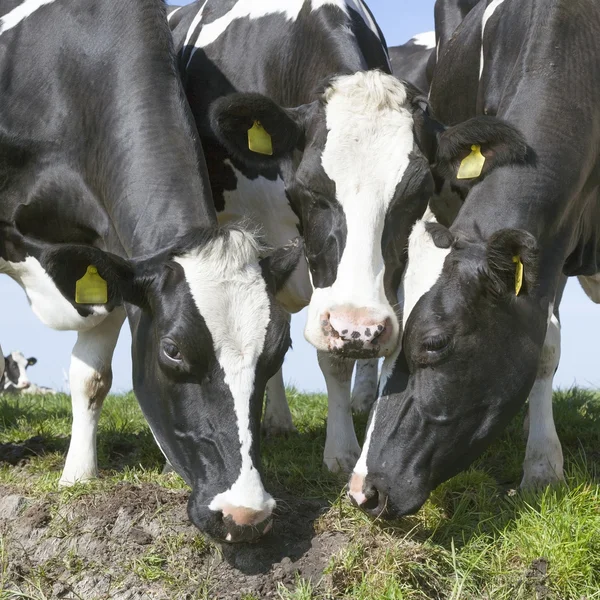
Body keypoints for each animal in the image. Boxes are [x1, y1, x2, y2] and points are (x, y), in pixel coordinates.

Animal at [0, 0, 300, 544]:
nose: (245, 514)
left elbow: (93, 377)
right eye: (173, 350)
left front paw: (77, 475)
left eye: (278, 350)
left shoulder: (109, 248)